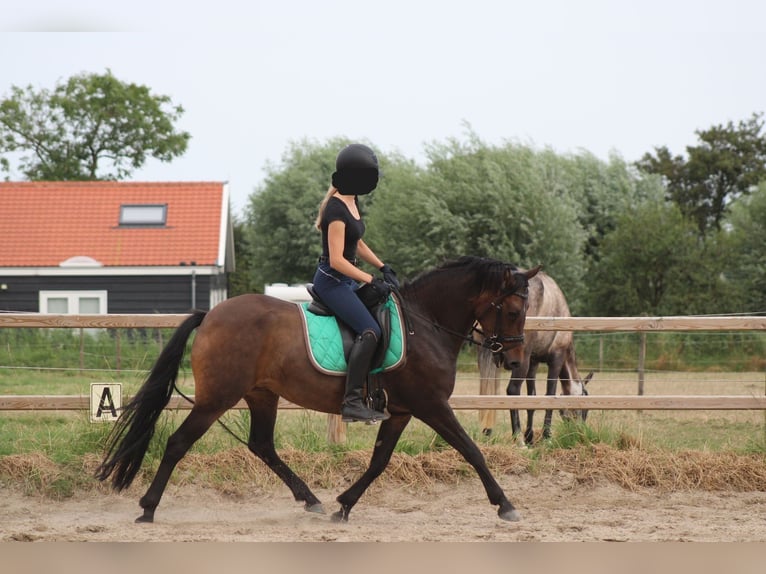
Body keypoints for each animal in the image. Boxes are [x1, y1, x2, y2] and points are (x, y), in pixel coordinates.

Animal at [97, 258, 540, 524]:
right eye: (513, 311)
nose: (515, 361)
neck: (425, 325)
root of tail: (210, 315)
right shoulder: (431, 405)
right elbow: (472, 450)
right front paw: (505, 505)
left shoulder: (400, 411)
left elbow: (379, 461)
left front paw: (344, 505)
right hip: (216, 399)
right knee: (178, 443)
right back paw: (148, 508)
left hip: (262, 394)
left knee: (262, 445)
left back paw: (310, 499)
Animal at [476, 272, 592, 444]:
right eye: (584, 410)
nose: (580, 433)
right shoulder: (556, 359)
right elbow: (549, 395)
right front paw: (546, 436)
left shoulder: (533, 362)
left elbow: (532, 398)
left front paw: (530, 436)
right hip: (519, 361)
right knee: (512, 390)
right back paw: (517, 437)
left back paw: (488, 431)